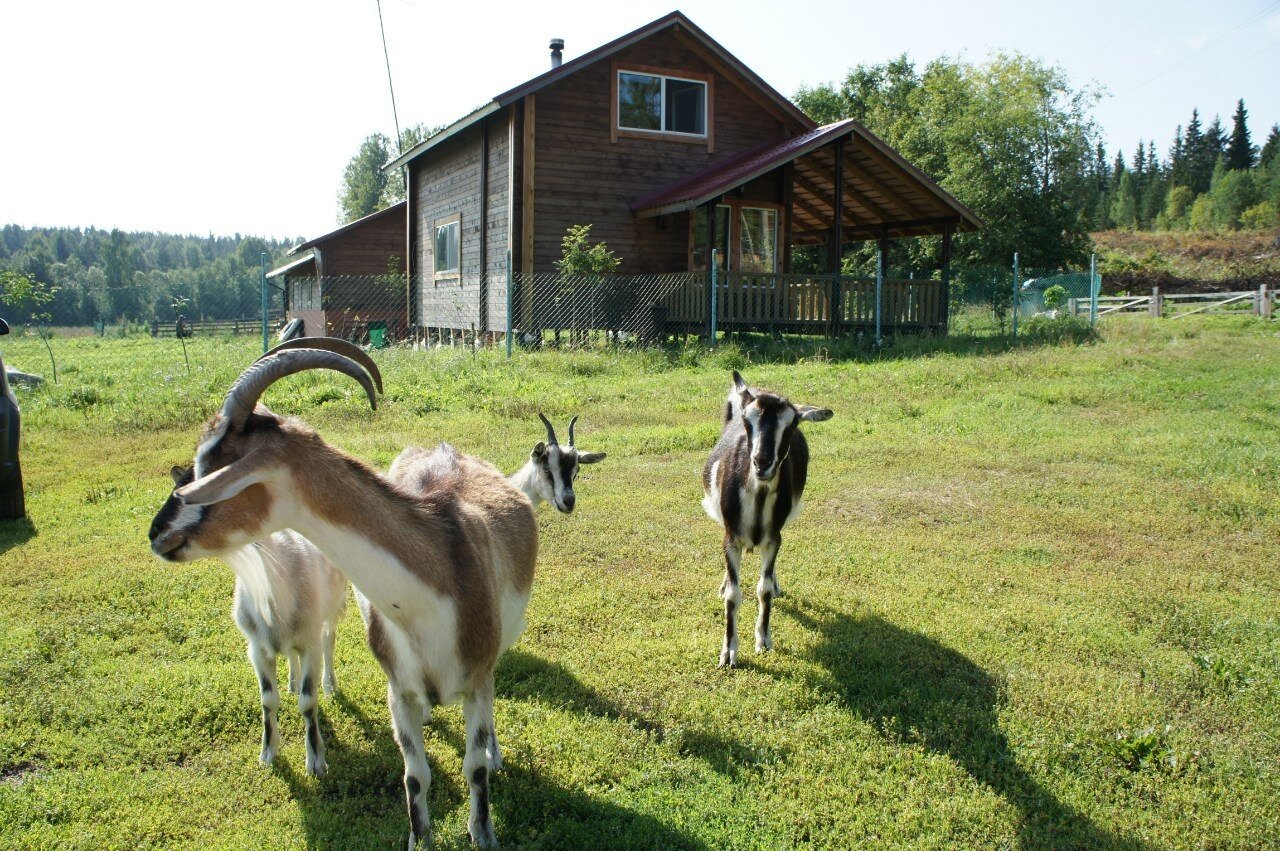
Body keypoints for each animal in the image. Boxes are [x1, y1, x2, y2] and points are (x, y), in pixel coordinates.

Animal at [148, 343, 534, 848]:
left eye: (209, 468)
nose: (157, 534)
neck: (428, 598)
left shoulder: (476, 677)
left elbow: (473, 768)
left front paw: (483, 830)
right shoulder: (398, 690)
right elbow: (415, 776)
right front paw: (419, 838)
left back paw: (496, 753)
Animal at [702, 370, 832, 668]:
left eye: (792, 424)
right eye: (747, 421)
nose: (762, 463)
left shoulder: (774, 539)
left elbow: (764, 589)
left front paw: (763, 639)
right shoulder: (731, 537)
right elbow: (733, 595)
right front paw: (728, 653)